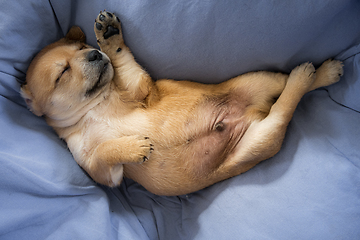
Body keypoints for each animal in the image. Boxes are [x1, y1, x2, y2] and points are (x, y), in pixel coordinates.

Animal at [20, 10, 344, 195]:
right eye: (62, 73)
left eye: (83, 47)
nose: (94, 54)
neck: (95, 108)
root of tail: (253, 112)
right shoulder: (101, 171)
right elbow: (105, 151)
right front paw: (134, 146)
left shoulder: (139, 88)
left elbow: (123, 59)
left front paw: (110, 37)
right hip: (258, 131)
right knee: (282, 104)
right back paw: (317, 73)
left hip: (258, 83)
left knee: (286, 99)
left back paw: (315, 73)